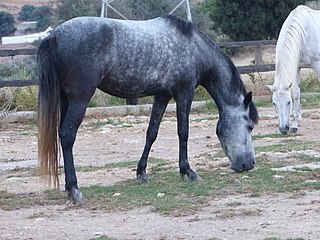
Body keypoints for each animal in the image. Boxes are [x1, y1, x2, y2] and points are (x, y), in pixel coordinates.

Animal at [268, 5, 320, 134]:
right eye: (274, 103)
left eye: (288, 102)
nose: (283, 129)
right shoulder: (296, 67)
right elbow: (296, 93)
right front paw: (295, 124)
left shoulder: (317, 64)